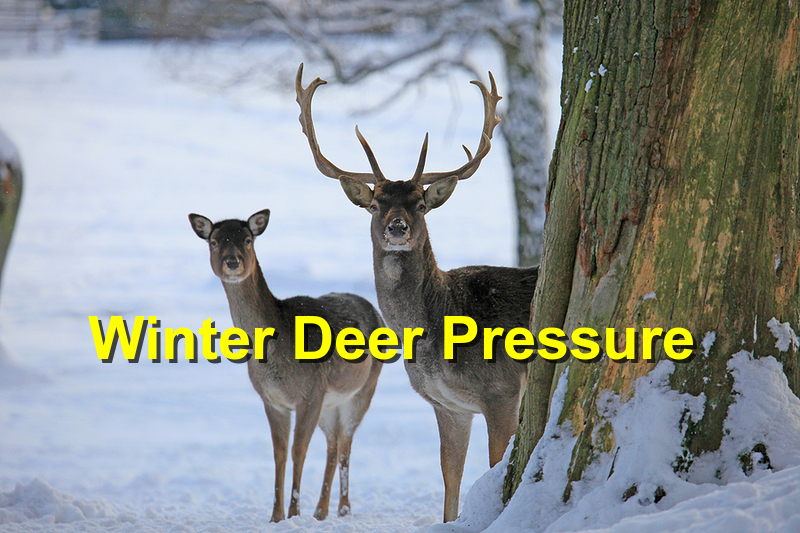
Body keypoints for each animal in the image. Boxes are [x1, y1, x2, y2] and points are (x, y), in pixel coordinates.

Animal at [189, 209, 383, 522]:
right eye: (214, 242)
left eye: (247, 240)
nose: (232, 262)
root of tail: (376, 310)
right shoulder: (273, 400)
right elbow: (279, 452)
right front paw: (276, 516)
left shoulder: (310, 393)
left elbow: (298, 450)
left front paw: (293, 513)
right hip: (329, 404)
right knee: (333, 443)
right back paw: (320, 511)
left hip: (363, 389)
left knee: (346, 443)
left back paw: (343, 510)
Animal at [295, 64, 539, 522]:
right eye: (374, 204)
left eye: (421, 205)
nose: (397, 227)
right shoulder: (447, 405)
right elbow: (449, 482)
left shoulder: (502, 390)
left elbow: (494, 466)